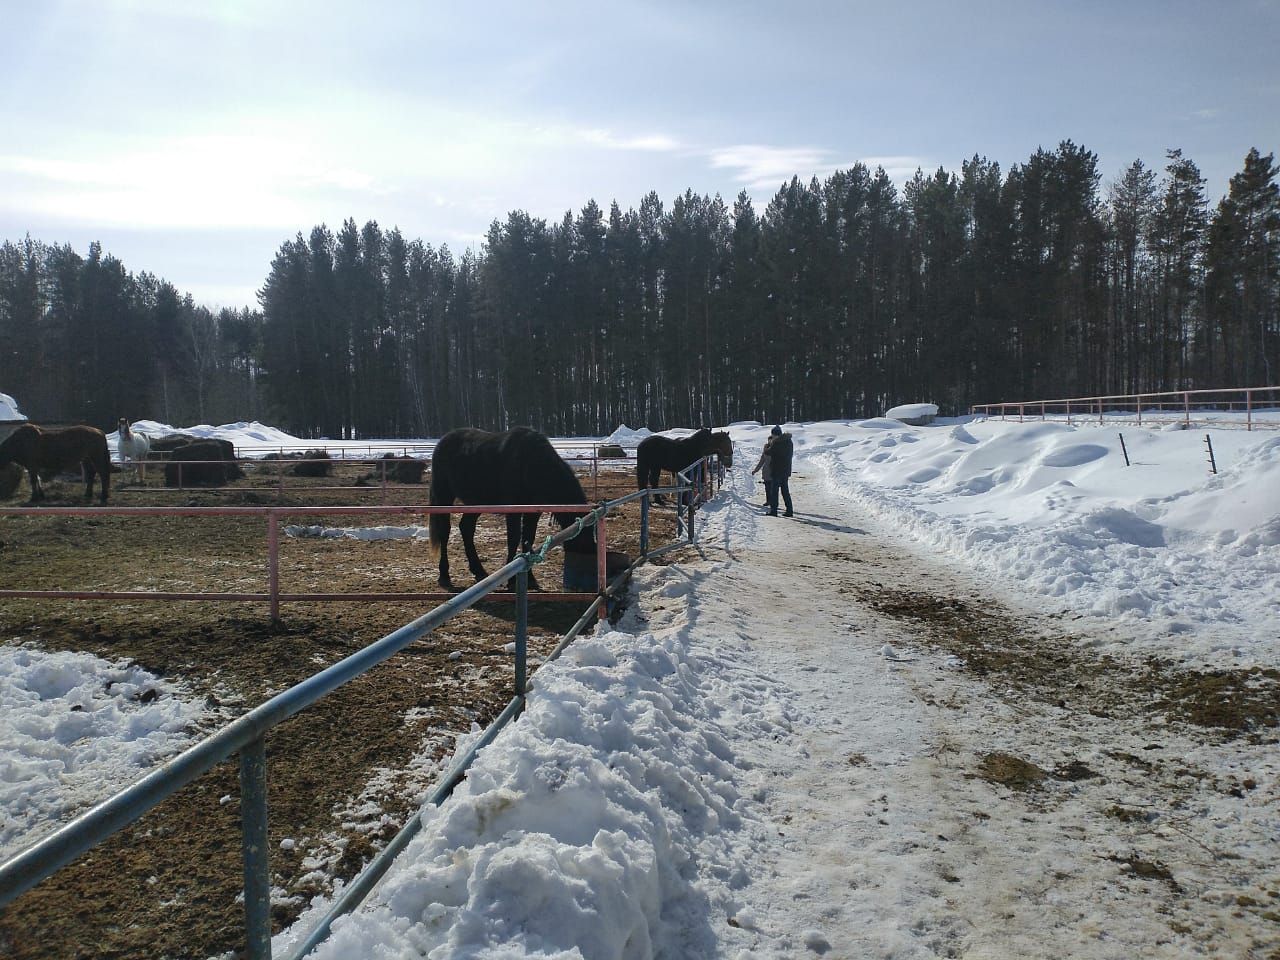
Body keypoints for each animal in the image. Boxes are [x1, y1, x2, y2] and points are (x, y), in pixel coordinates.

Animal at [424, 427, 593, 593]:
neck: (530, 463)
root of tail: (443, 442)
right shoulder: (513, 510)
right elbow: (514, 539)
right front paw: (511, 581)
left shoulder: (534, 512)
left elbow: (528, 539)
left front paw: (530, 579)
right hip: (444, 497)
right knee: (444, 532)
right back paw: (444, 576)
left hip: (476, 503)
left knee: (466, 528)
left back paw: (479, 571)